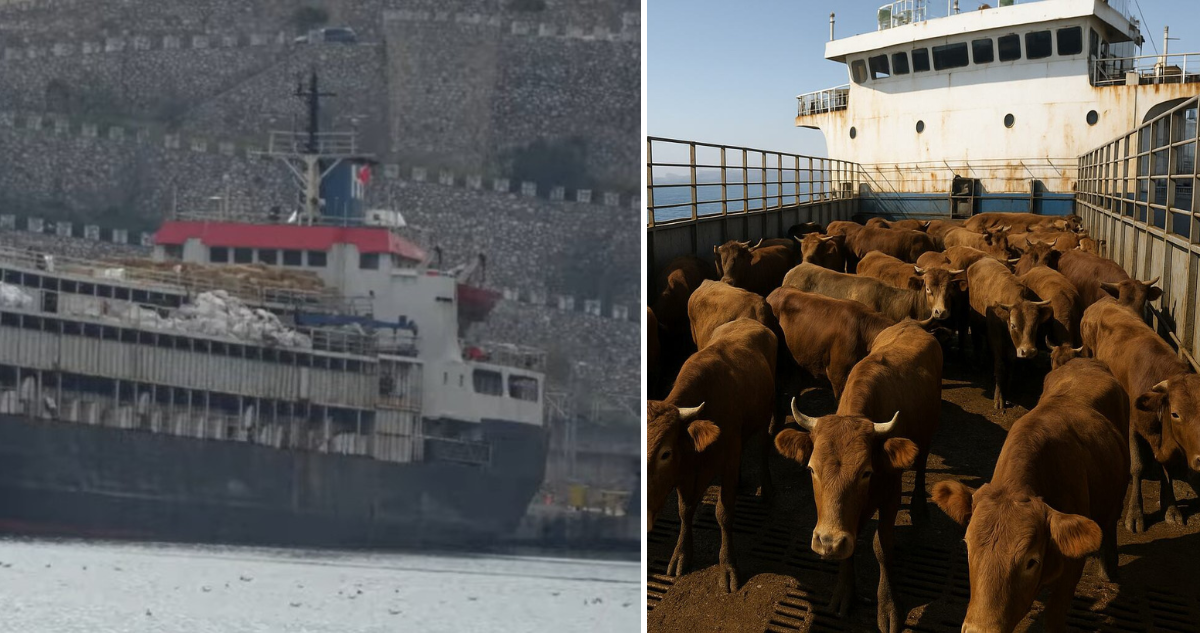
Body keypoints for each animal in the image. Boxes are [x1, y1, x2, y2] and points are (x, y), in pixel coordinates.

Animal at [647, 319, 777, 593]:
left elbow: (724, 514)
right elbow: (685, 511)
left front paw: (727, 566)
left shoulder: (727, 462)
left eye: (665, 453)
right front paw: (681, 553)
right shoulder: (685, 474)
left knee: (763, 445)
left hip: (767, 411)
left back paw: (767, 488)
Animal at [775, 320, 941, 632]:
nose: (827, 541)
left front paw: (888, 605)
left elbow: (882, 546)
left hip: (928, 432)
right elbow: (849, 548)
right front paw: (844, 593)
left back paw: (918, 507)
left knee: (923, 463)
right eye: (811, 469)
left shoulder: (891, 494)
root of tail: (911, 323)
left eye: (866, 472)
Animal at [967, 258, 1053, 411]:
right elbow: (1000, 366)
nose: (1028, 351)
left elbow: (1011, 364)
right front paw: (999, 398)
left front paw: (1007, 390)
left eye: (1036, 325)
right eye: (1013, 325)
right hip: (974, 322)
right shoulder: (996, 338)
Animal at [1081, 297, 1200, 532]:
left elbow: (1167, 469)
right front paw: (1135, 514)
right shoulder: (1133, 426)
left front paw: (1171, 508)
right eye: (1175, 414)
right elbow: (1137, 466)